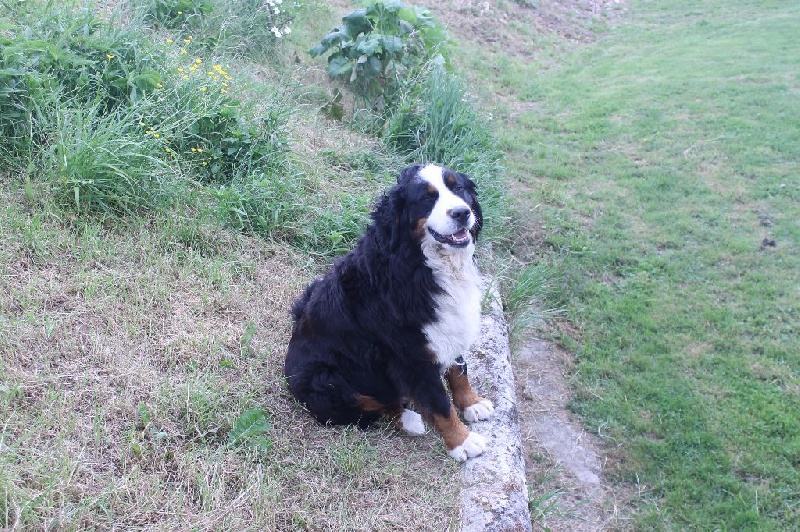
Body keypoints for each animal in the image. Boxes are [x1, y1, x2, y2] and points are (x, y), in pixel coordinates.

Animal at [284, 163, 494, 461]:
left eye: (459, 188)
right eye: (427, 198)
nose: (462, 213)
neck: (421, 264)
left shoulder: (446, 324)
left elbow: (459, 370)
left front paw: (471, 404)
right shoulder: (411, 355)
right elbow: (440, 404)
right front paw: (462, 441)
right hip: (326, 380)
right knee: (373, 407)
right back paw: (409, 420)